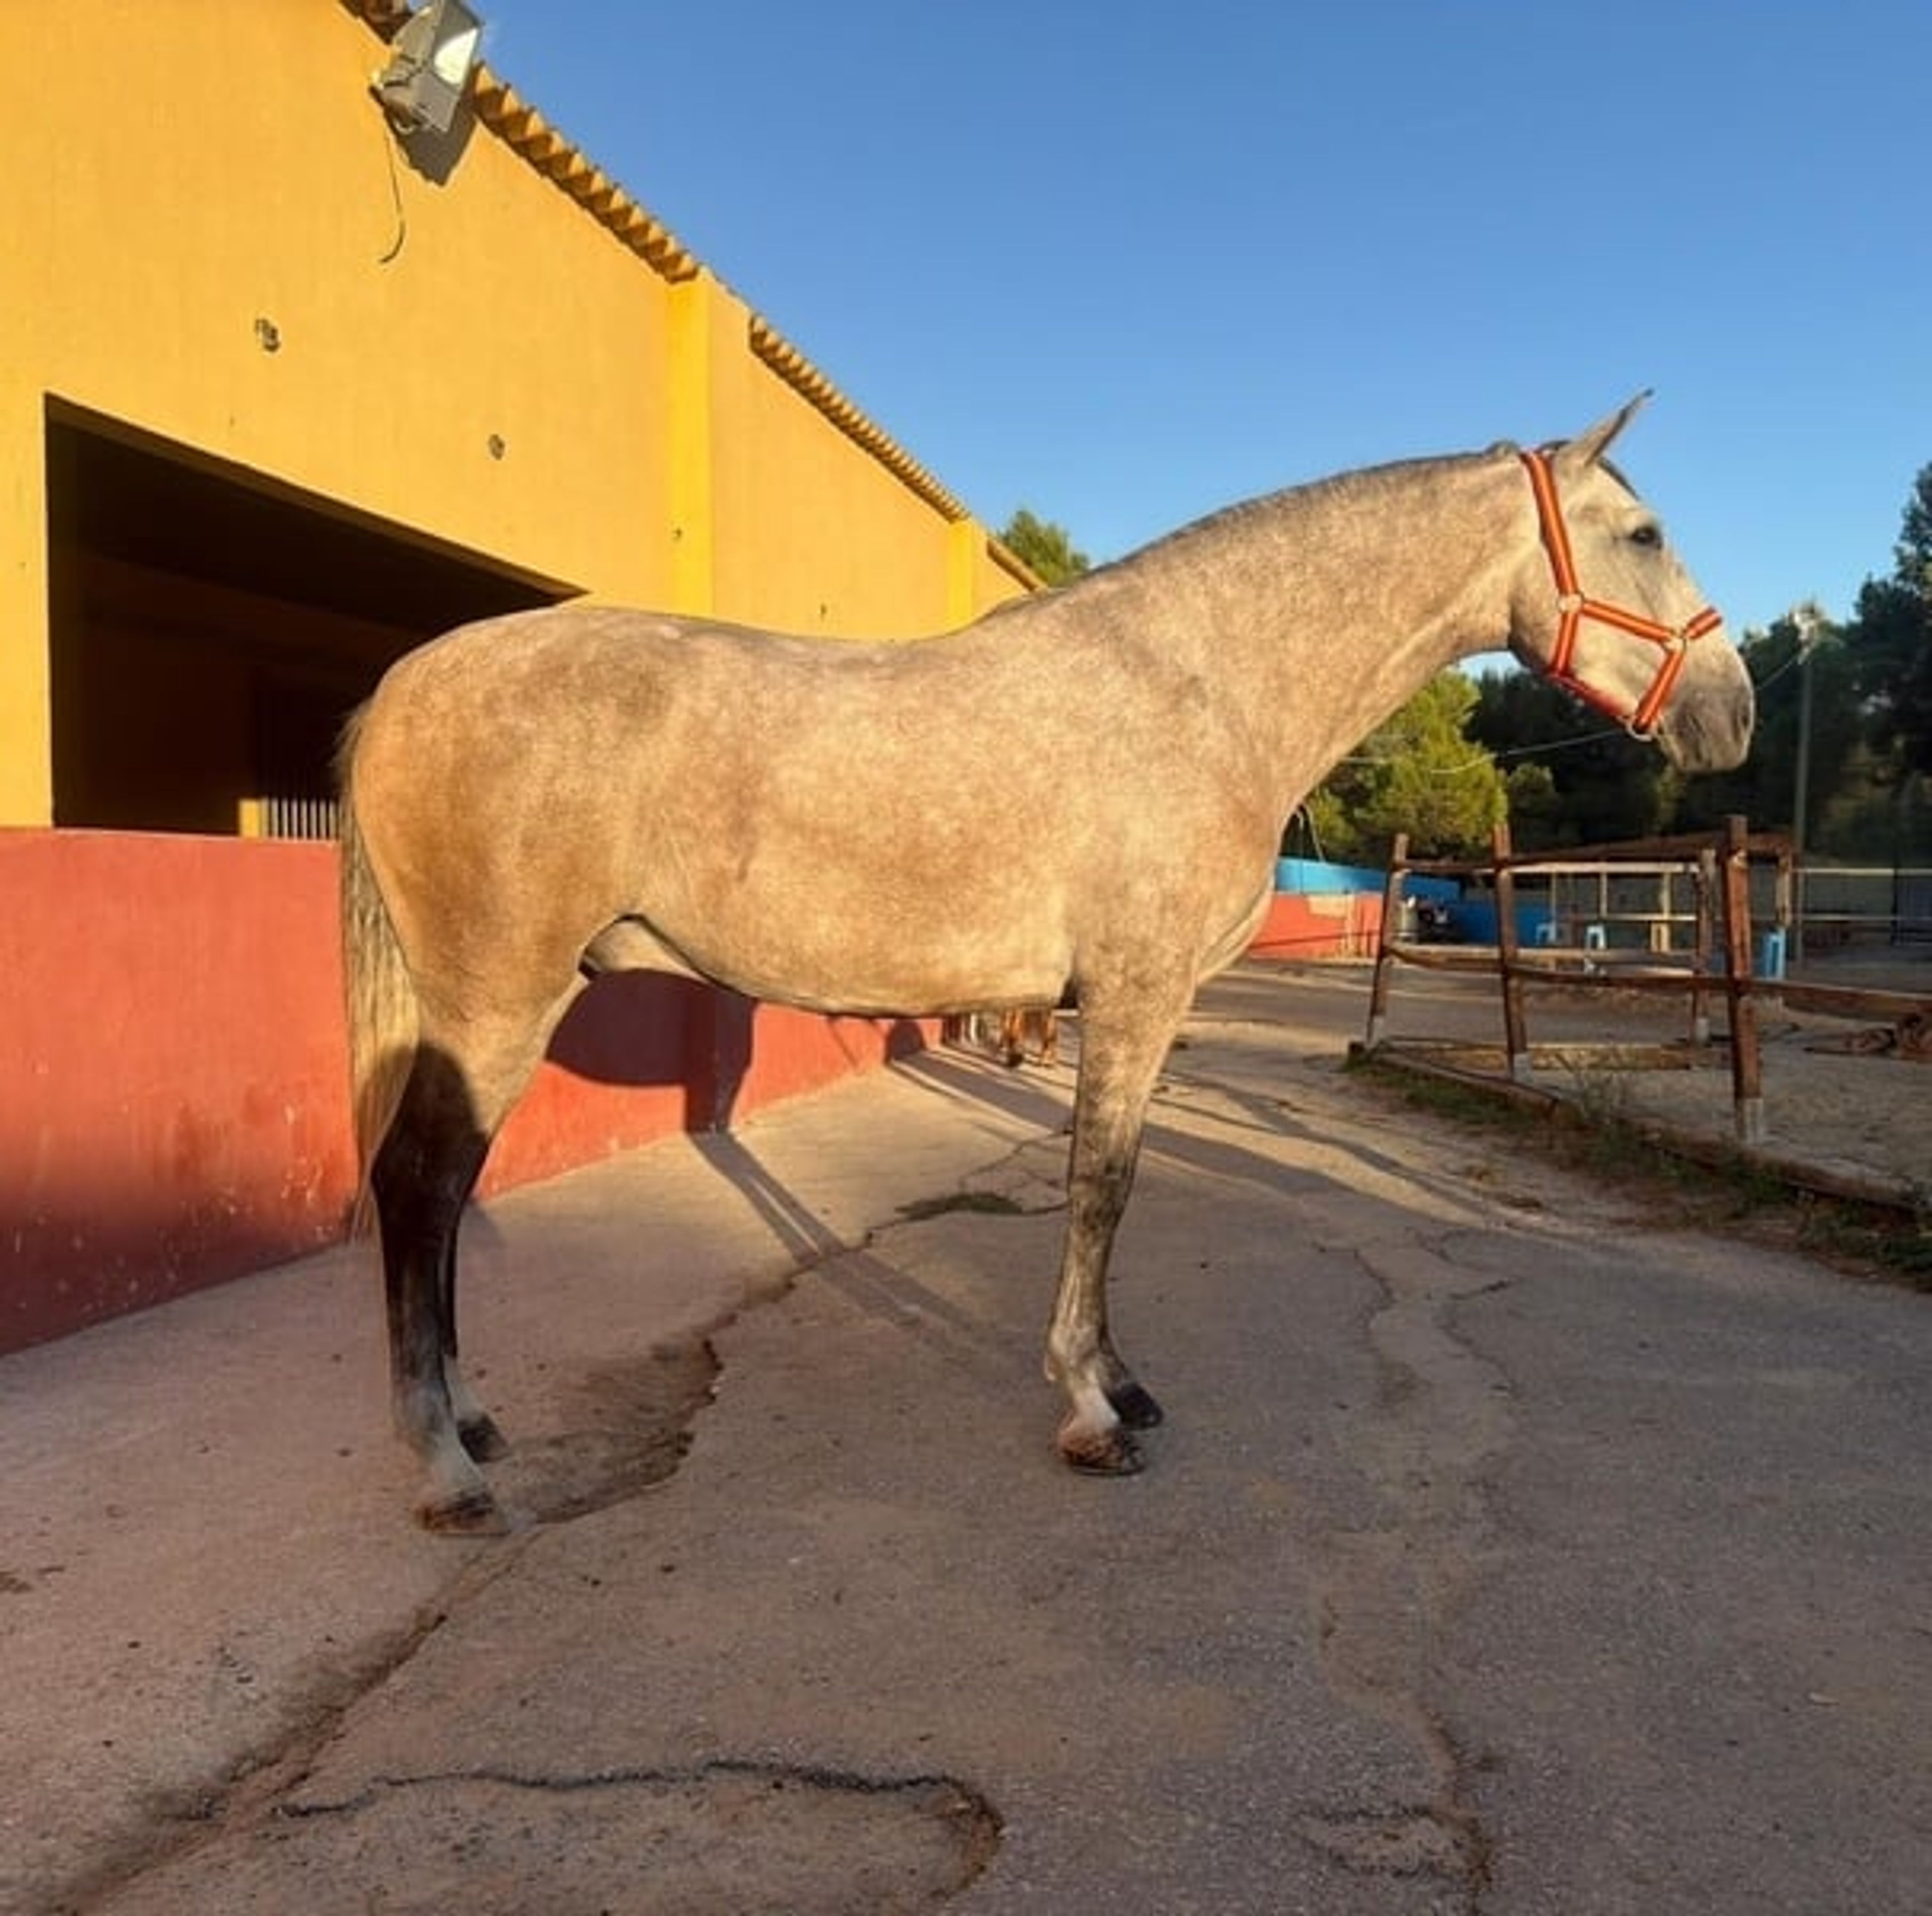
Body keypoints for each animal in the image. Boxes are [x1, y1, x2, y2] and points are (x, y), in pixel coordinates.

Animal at [337, 395, 1753, 1532]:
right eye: (1641, 535)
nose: (1731, 712)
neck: (1203, 689)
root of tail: (404, 684)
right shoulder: (1132, 996)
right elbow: (1102, 1186)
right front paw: (1091, 1409)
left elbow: (1108, 1185)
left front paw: (1121, 1379)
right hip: (497, 999)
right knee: (418, 1185)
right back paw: (447, 1469)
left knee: (445, 1193)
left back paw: (472, 1422)